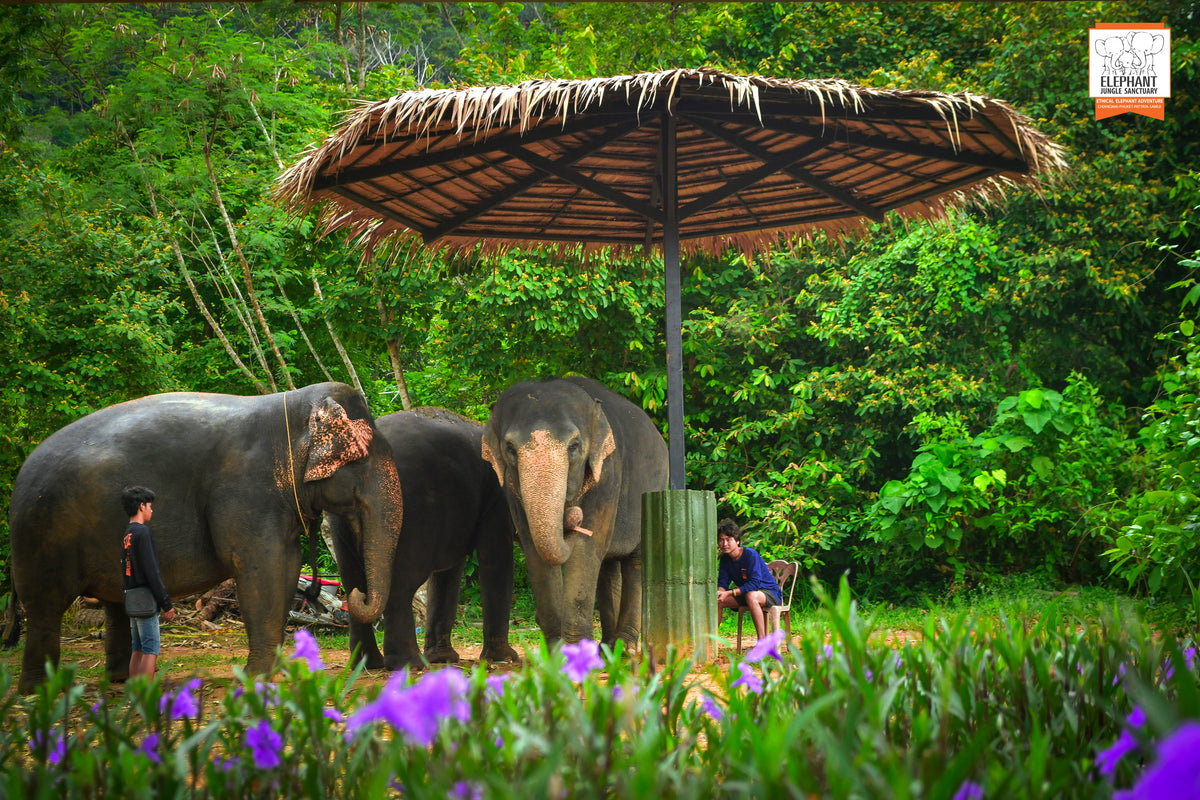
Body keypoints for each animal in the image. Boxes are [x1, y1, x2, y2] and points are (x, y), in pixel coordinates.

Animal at [9, 382, 403, 693]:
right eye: (362, 460)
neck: (288, 410)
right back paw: (40, 689)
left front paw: (273, 673)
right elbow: (263, 569)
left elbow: (287, 566)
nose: (356, 593)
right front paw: (257, 678)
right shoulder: (245, 490)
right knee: (46, 606)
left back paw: (120, 679)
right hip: (42, 535)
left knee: (115, 602)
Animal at [330, 407, 521, 670]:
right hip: (405, 510)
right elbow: (496, 559)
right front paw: (506, 659)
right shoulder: (496, 496)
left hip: (341, 520)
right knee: (400, 585)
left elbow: (449, 572)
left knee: (352, 580)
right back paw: (409, 665)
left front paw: (443, 658)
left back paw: (368, 664)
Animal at [482, 377, 668, 650]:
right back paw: (607, 647)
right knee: (608, 566)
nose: (572, 517)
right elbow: (534, 548)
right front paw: (558, 652)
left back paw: (624, 649)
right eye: (510, 448)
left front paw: (577, 651)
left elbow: (586, 548)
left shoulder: (608, 472)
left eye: (574, 446)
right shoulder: (511, 487)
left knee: (635, 561)